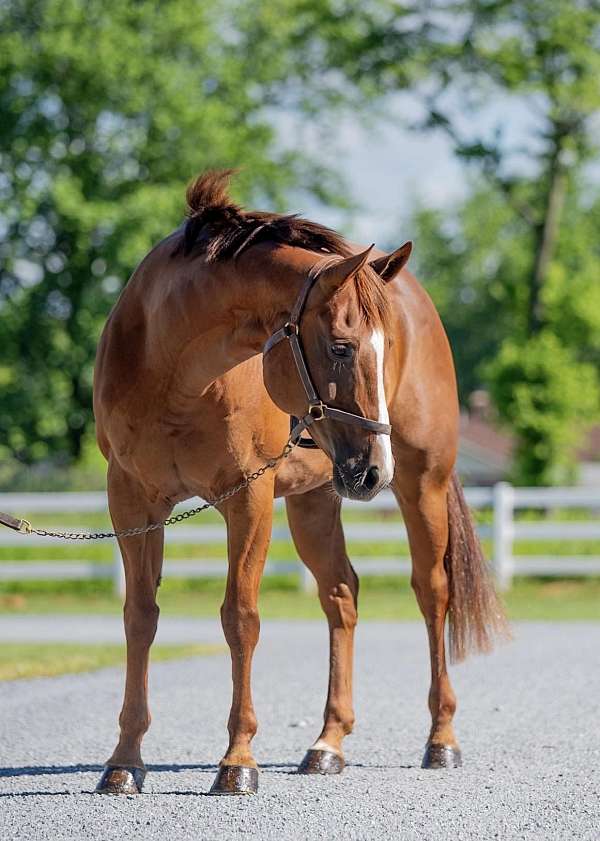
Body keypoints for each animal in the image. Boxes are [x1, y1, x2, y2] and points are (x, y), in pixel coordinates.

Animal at [92, 169, 506, 796]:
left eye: (384, 350)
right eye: (340, 347)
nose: (374, 469)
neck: (171, 370)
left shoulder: (248, 499)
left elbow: (240, 618)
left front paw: (237, 761)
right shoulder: (132, 504)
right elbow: (139, 618)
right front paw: (124, 760)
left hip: (422, 484)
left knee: (432, 592)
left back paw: (441, 739)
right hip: (316, 500)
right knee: (342, 595)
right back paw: (327, 744)